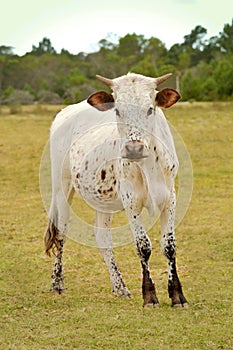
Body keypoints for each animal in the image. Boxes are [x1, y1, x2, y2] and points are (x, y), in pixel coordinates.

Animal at [44, 72, 189, 308]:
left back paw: (120, 287)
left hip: (101, 200)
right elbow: (143, 246)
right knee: (60, 233)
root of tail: (65, 113)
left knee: (103, 238)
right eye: (118, 110)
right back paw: (57, 284)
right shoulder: (131, 201)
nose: (134, 148)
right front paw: (150, 296)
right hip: (61, 188)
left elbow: (169, 246)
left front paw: (177, 295)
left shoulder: (170, 198)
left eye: (150, 109)